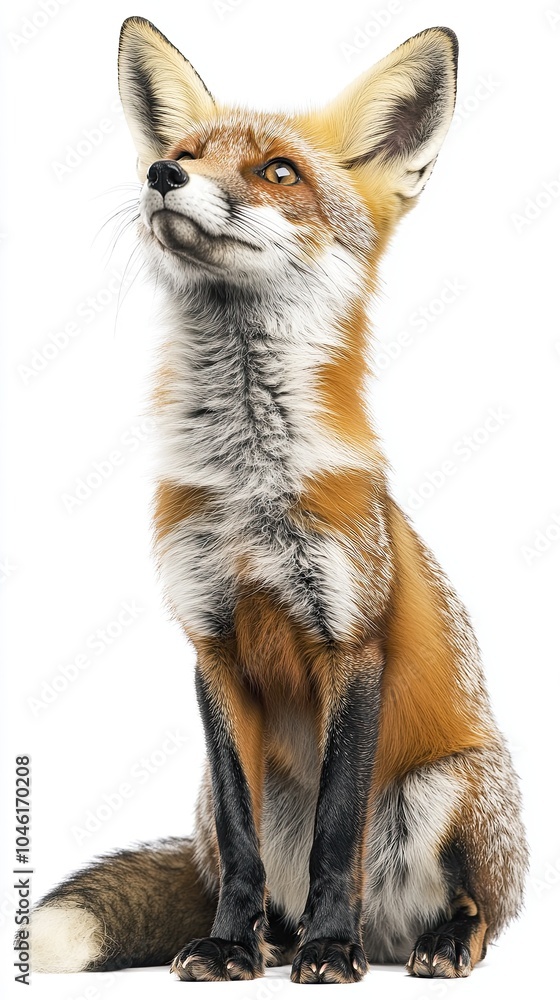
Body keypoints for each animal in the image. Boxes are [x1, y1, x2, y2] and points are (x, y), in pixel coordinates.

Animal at [30, 17, 527, 984]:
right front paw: (229, 944)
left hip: (450, 788)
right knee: (251, 864)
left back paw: (416, 939)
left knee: (481, 905)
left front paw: (330, 949)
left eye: (279, 171)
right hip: (216, 800)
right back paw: (272, 936)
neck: (250, 483)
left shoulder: (353, 642)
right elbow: (241, 833)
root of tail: (392, 929)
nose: (162, 174)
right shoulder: (212, 647)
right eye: (186, 154)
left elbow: (341, 827)